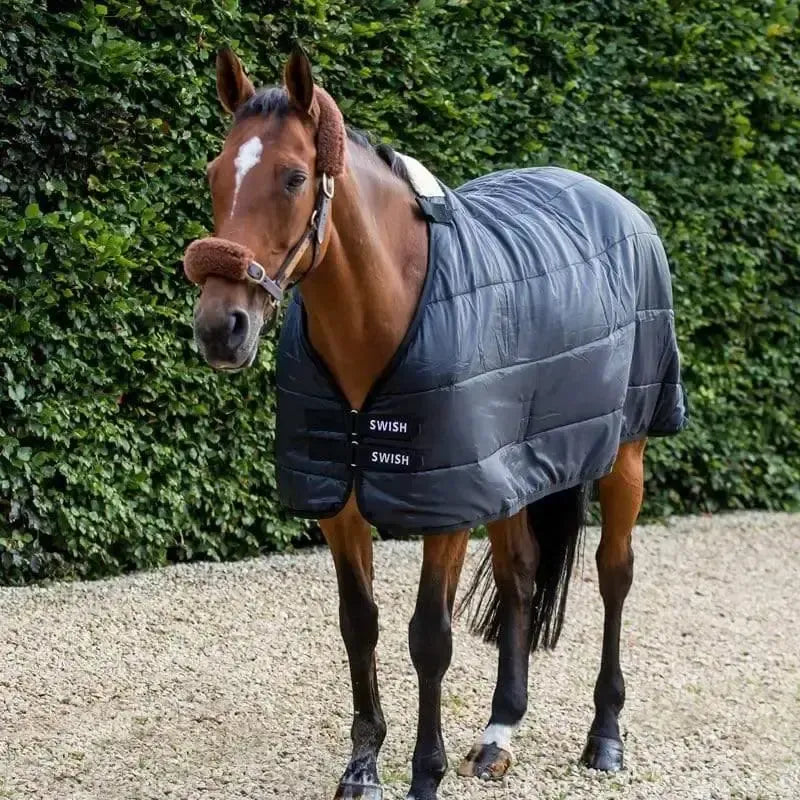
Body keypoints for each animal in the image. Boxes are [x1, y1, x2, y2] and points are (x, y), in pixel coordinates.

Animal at [183, 47, 687, 800]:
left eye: (294, 177)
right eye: (215, 174)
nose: (222, 328)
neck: (386, 315)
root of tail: (614, 202)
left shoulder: (445, 508)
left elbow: (430, 638)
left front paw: (425, 774)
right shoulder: (345, 501)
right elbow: (359, 624)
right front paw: (362, 768)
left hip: (625, 450)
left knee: (614, 573)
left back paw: (605, 735)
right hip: (512, 471)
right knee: (519, 573)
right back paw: (500, 732)